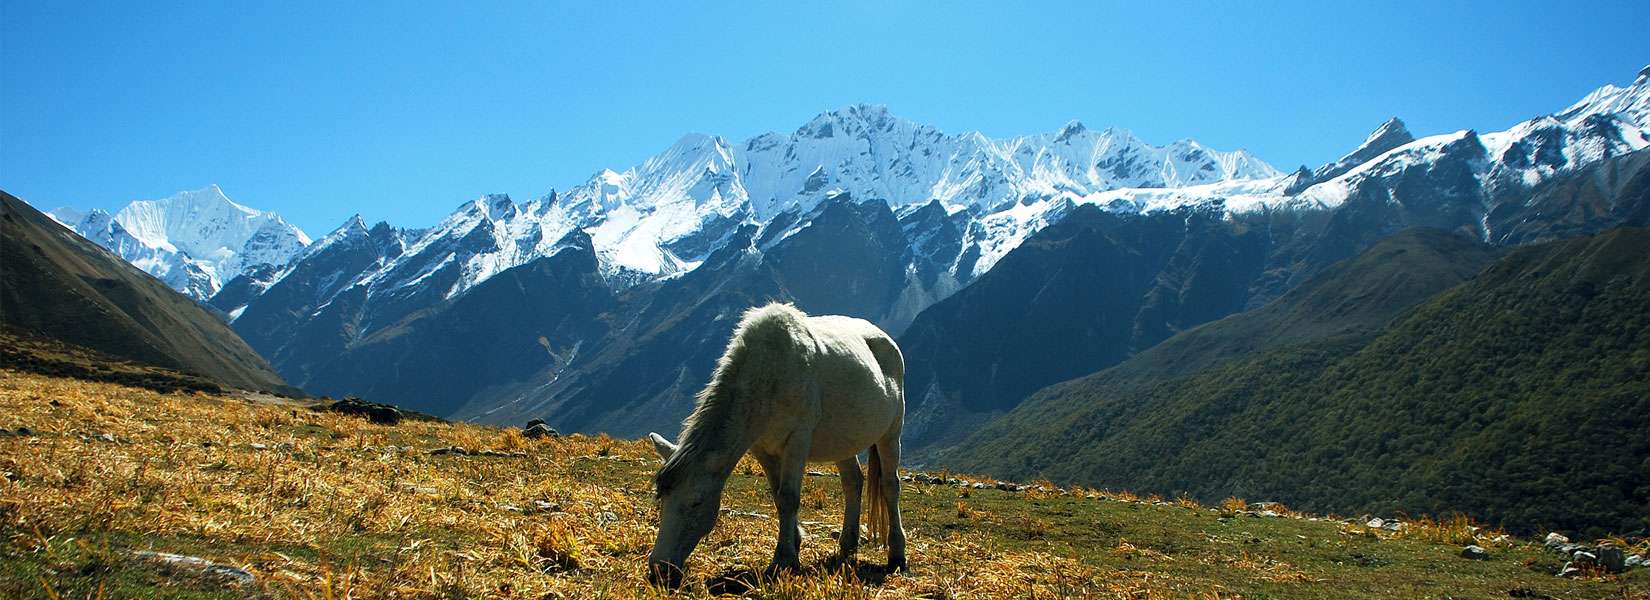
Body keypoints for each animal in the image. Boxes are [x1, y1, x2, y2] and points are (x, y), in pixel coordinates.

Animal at [643, 301, 910, 583]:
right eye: (662, 498)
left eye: (696, 502)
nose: (659, 568)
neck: (769, 373)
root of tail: (885, 339)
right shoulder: (762, 448)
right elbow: (778, 496)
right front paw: (794, 545)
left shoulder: (797, 441)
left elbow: (789, 496)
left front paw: (784, 559)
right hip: (843, 440)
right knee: (853, 483)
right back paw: (847, 547)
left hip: (891, 433)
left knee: (890, 486)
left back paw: (897, 554)